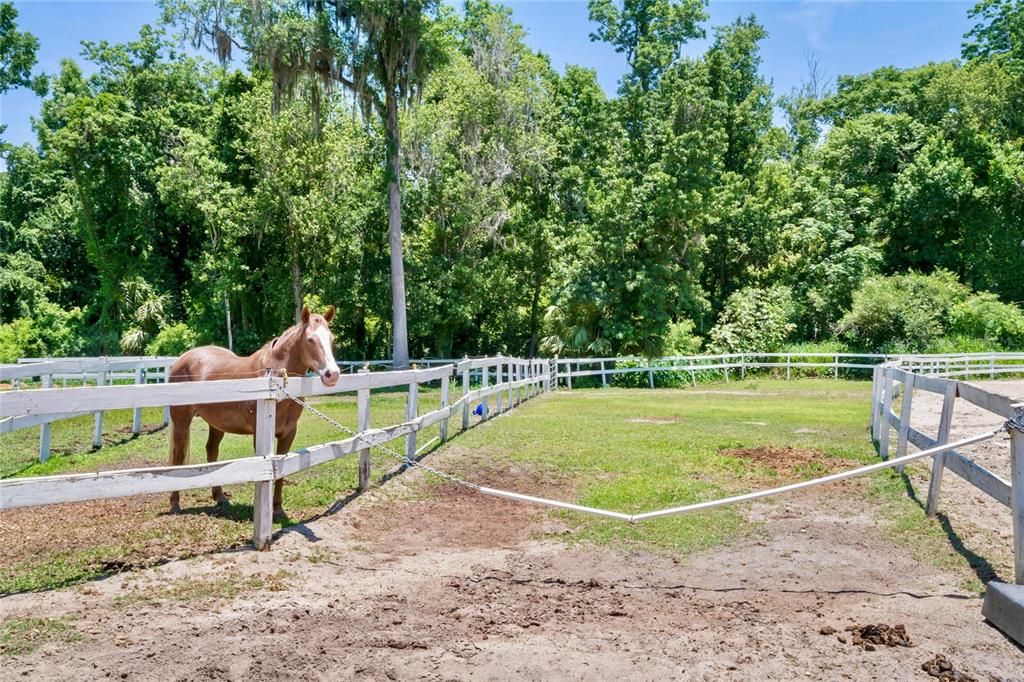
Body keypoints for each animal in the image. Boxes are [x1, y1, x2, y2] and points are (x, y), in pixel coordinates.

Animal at [167, 303, 342, 516]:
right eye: (310, 339)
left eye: (331, 338)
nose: (332, 374)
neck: (276, 380)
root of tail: (180, 360)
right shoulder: (260, 435)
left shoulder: (288, 434)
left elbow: (282, 470)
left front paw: (278, 509)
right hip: (182, 423)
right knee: (178, 457)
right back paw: (175, 504)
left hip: (216, 424)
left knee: (211, 451)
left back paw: (220, 497)